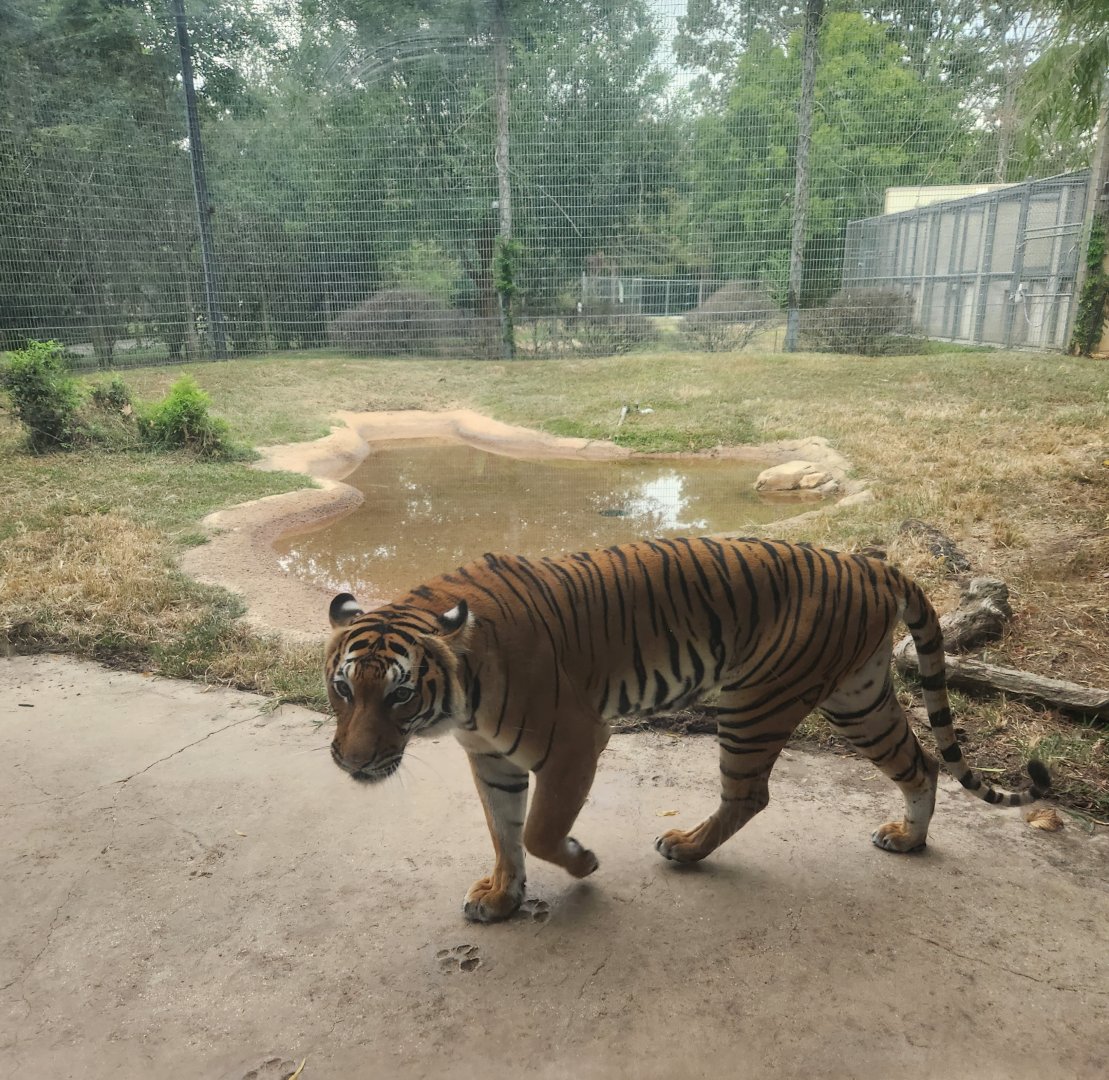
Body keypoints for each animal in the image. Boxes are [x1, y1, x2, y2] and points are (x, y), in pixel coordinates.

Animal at [326, 537, 1051, 923]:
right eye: (343, 688)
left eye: (399, 694)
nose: (352, 764)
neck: (458, 702)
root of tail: (869, 563)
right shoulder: (490, 760)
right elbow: (504, 834)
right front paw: (502, 898)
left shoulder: (573, 744)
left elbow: (538, 832)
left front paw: (583, 862)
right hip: (860, 699)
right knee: (921, 765)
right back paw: (908, 838)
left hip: (756, 702)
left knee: (749, 794)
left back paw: (687, 847)